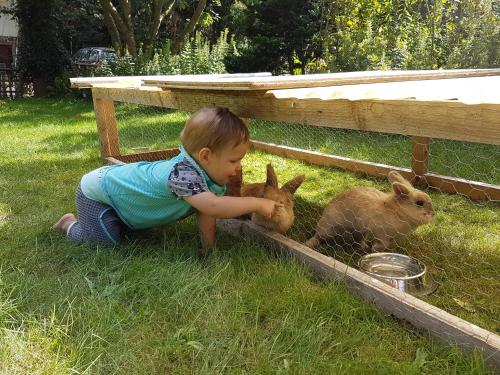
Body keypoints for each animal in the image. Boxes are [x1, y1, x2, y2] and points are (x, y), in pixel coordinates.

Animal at [304, 172, 434, 251]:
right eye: (420, 203)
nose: (433, 214)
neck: (399, 211)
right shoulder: (380, 232)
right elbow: (382, 243)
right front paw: (376, 248)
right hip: (329, 227)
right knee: (319, 236)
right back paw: (308, 244)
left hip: (360, 231)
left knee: (358, 240)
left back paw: (364, 247)